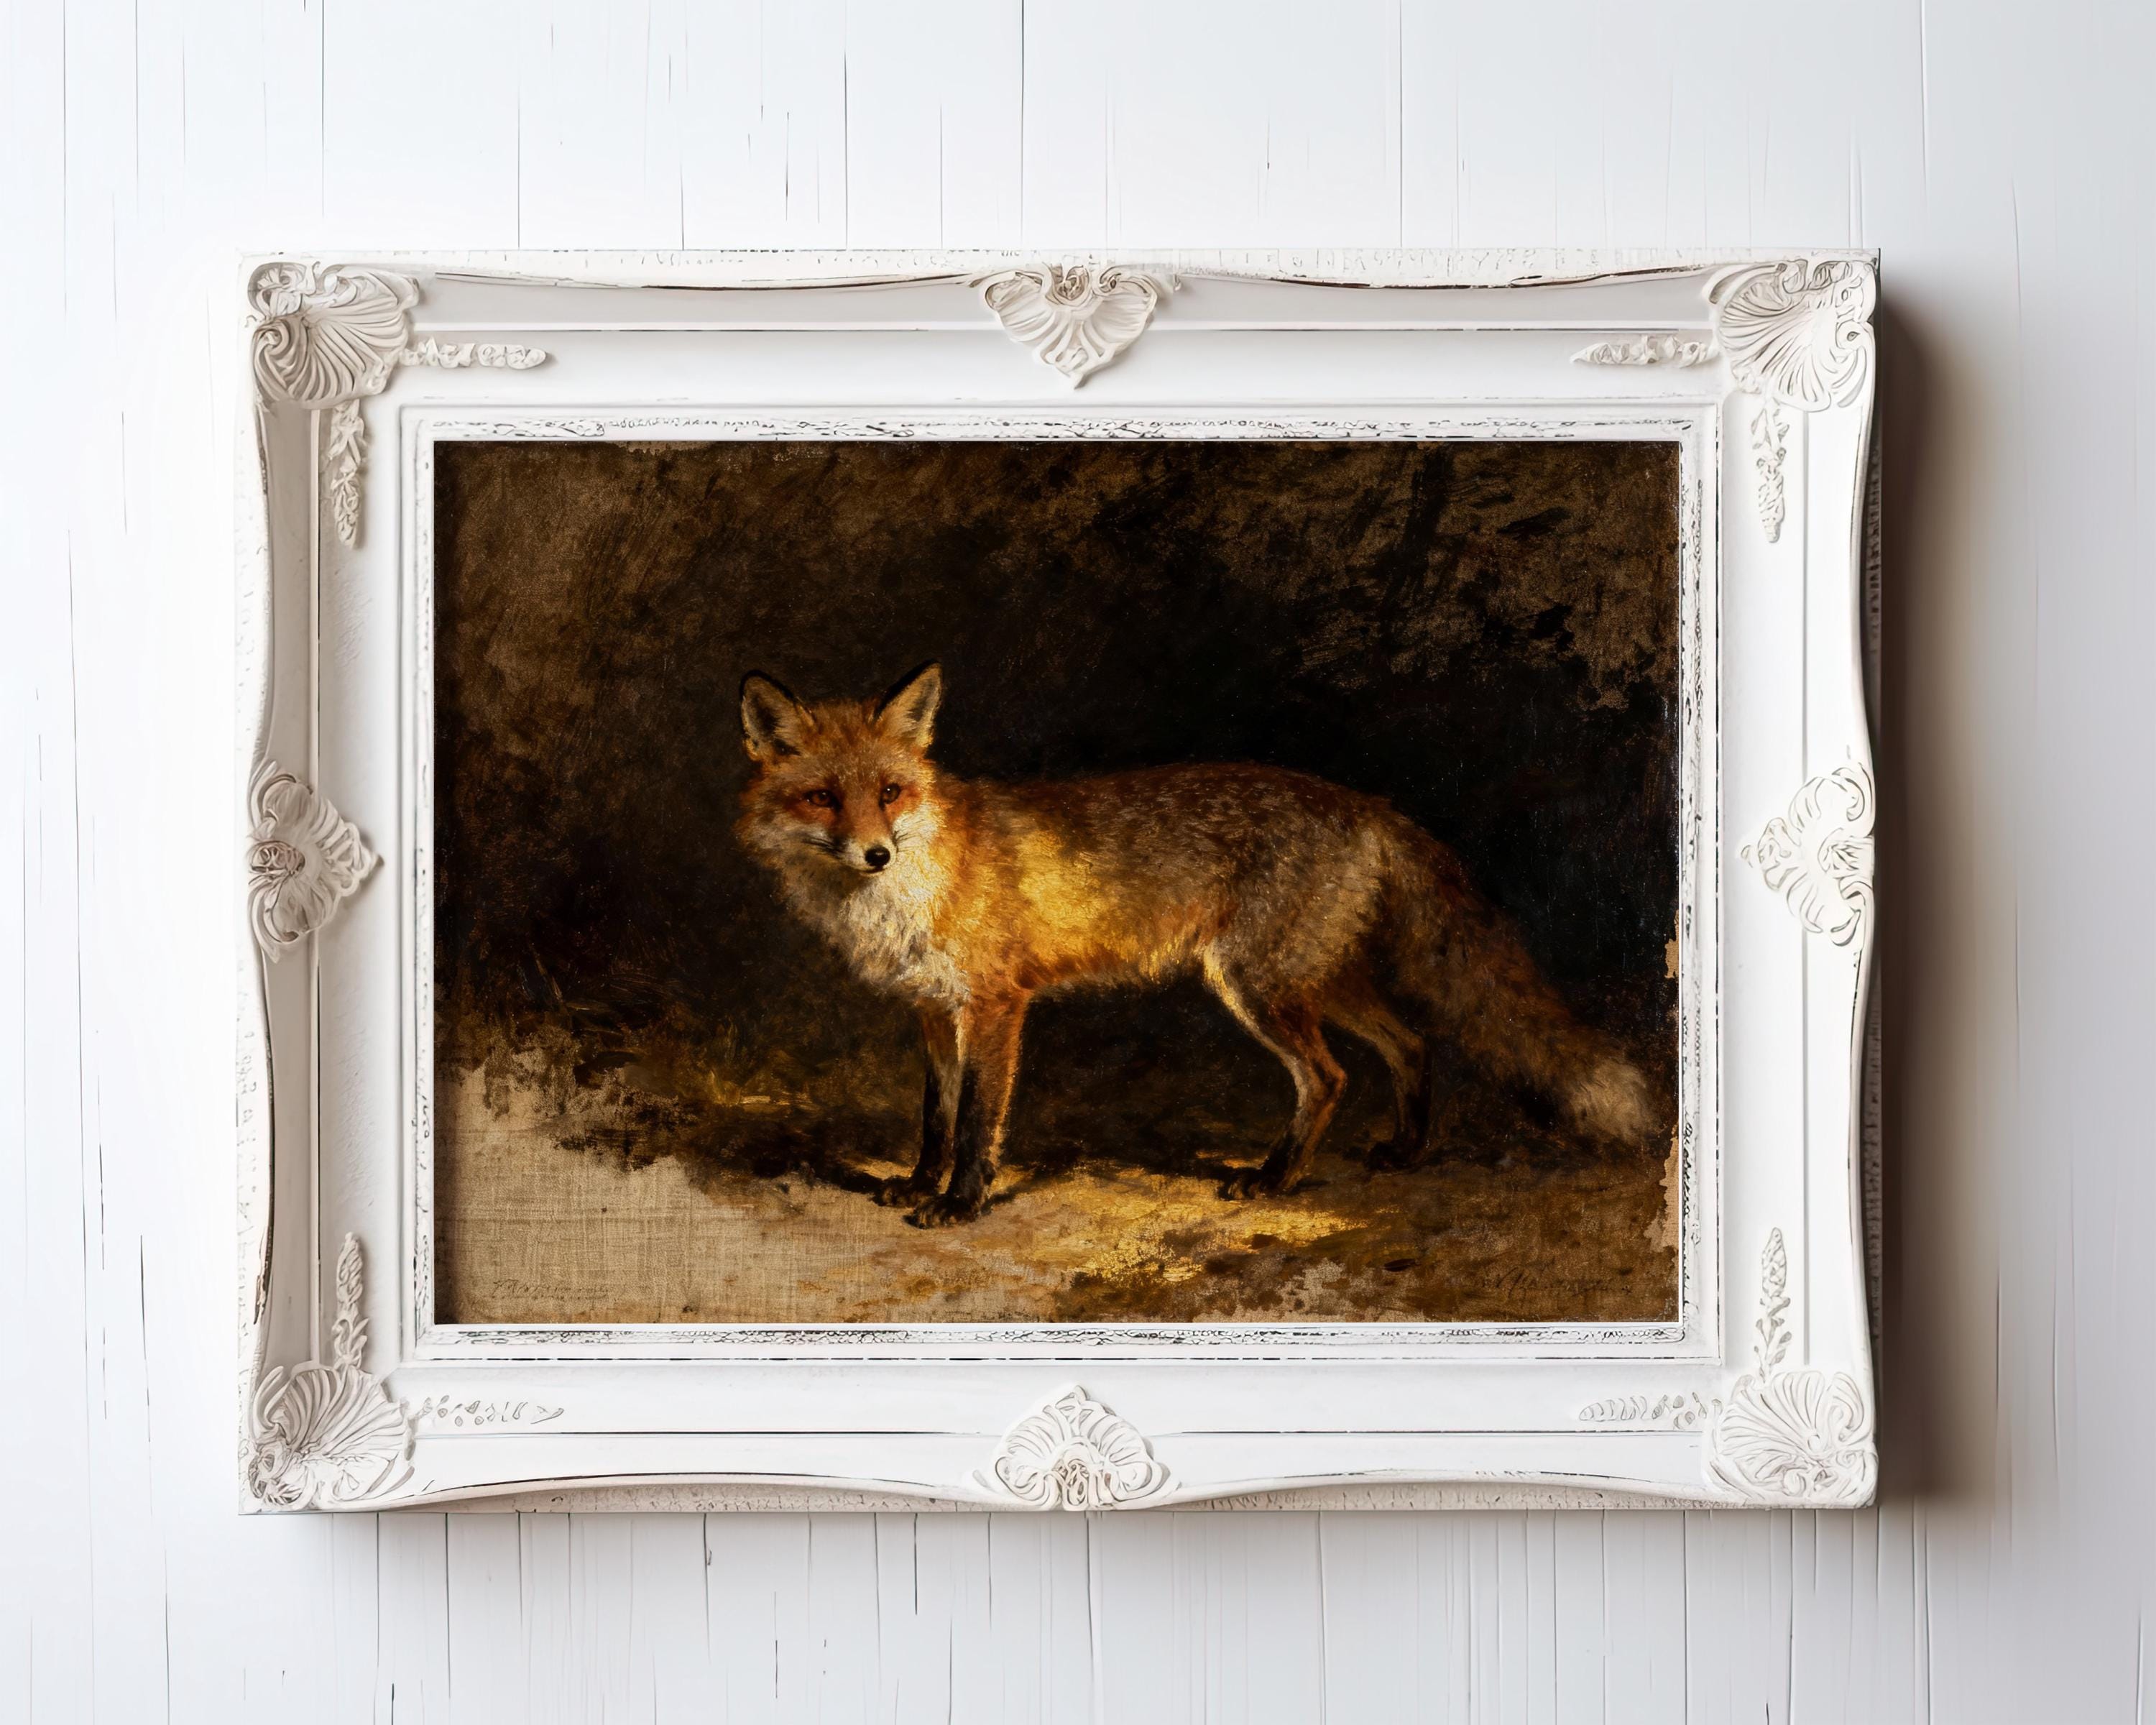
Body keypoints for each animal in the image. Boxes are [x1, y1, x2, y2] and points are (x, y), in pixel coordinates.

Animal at [736, 662, 1658, 1228]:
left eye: (891, 793)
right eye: (823, 798)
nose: (876, 853)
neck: (906, 893)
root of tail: (1364, 802)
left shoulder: (996, 1005)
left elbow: (975, 1123)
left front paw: (959, 1204)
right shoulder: (933, 1011)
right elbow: (935, 1116)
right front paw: (917, 1185)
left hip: (1260, 987)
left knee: (1330, 1077)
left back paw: (1275, 1178)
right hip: (1312, 980)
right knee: (1410, 1041)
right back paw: (1406, 1151)